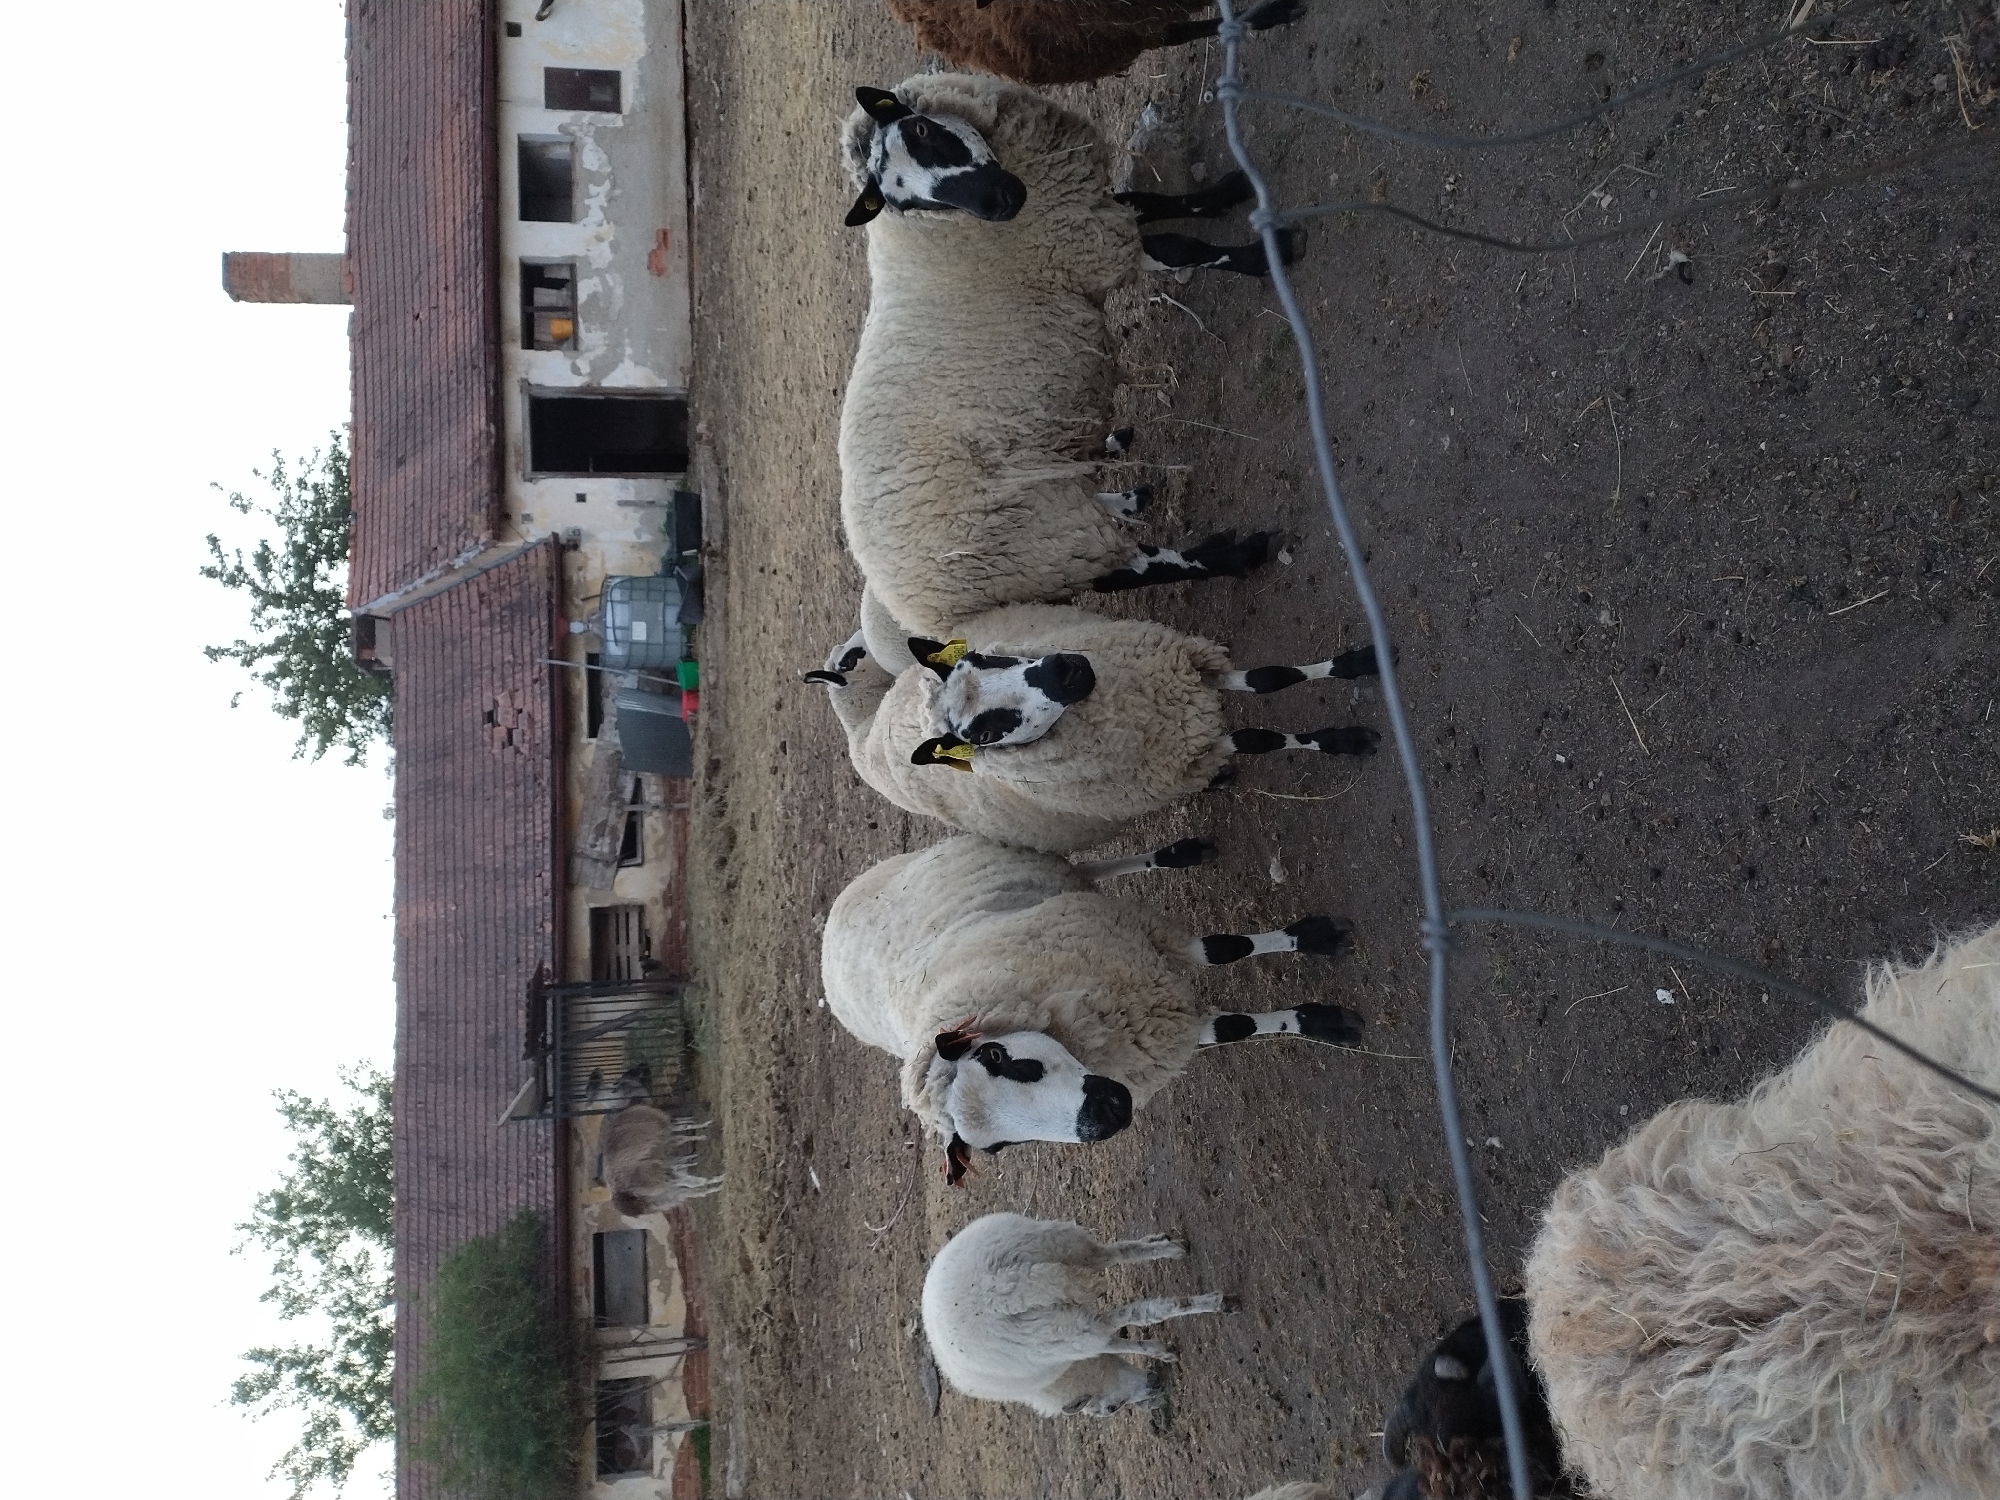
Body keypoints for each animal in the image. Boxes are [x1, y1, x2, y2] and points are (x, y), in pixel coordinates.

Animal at [807, 600, 1381, 854]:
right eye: (985, 734)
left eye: (987, 657)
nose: (1068, 670)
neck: (1142, 706)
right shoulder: (1185, 753)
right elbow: (1260, 739)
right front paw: (1348, 741)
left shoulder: (1192, 664)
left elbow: (1270, 679)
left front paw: (1361, 665)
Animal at [820, 832, 1363, 1176]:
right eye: (1000, 1147)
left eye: (995, 1056)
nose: (1105, 1116)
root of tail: (826, 938)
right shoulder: (1159, 1034)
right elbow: (1234, 1027)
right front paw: (1321, 1020)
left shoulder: (1142, 937)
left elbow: (1224, 950)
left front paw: (1315, 947)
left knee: (1088, 866)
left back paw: (1179, 852)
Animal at [838, 72, 1301, 640]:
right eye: (909, 203)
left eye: (923, 130)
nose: (998, 201)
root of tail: (921, 615)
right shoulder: (1086, 248)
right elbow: (1181, 248)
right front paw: (1267, 254)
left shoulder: (1079, 205)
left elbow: (1151, 199)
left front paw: (1226, 191)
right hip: (1041, 547)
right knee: (1134, 569)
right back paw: (1235, 554)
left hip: (1045, 512)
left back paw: (1128, 490)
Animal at [921, 1211, 1231, 1416]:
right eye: (1112, 1408)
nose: (1155, 1387)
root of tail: (996, 1289)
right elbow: (1120, 1341)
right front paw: (1160, 1351)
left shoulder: (1078, 1345)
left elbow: (1120, 1337)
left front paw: (1160, 1351)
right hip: (1057, 1242)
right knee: (1113, 1254)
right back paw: (1173, 1249)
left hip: (1062, 1330)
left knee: (1139, 1311)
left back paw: (1219, 1302)